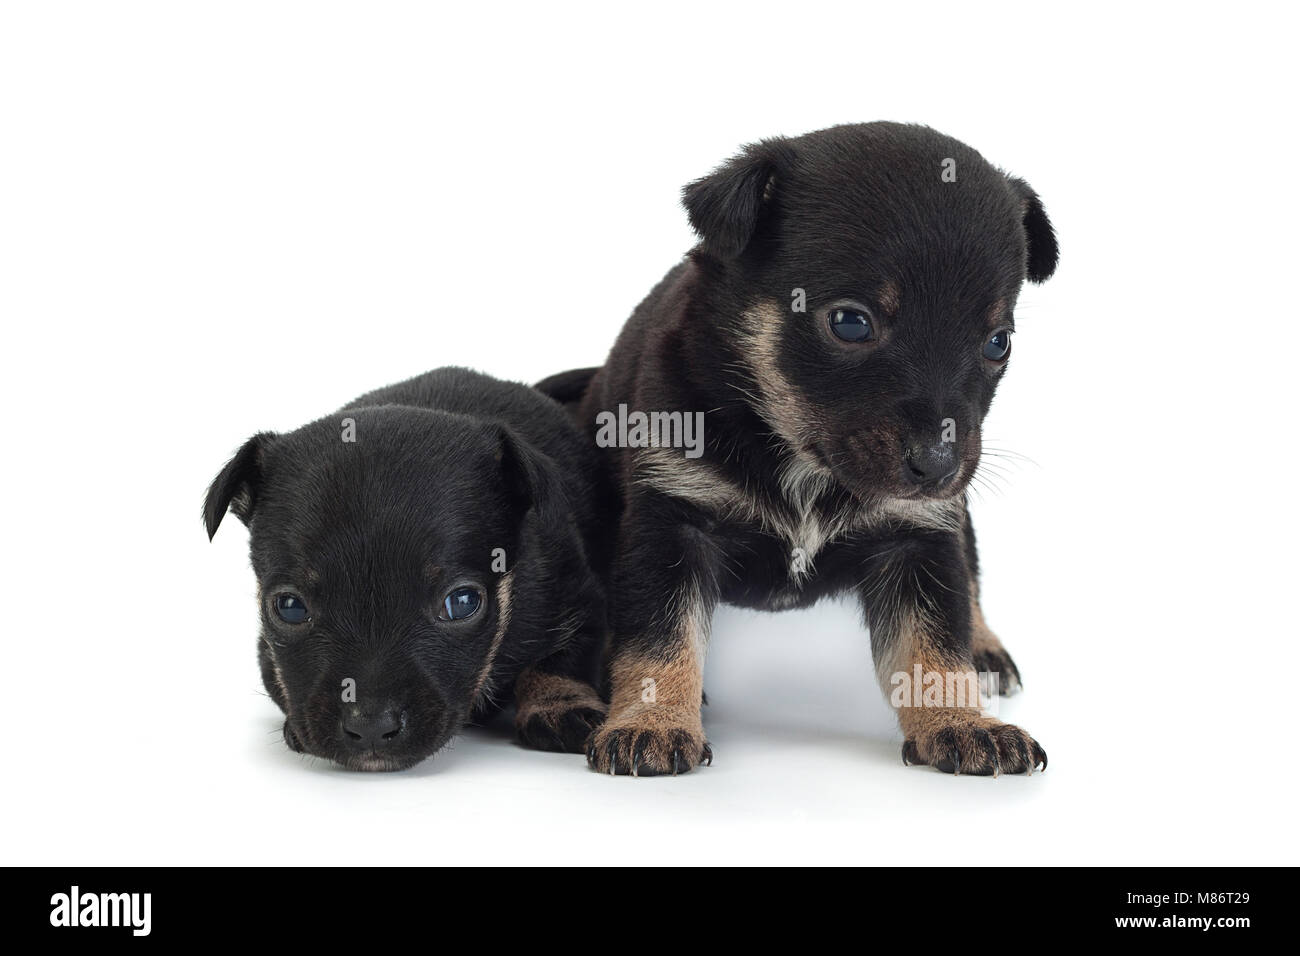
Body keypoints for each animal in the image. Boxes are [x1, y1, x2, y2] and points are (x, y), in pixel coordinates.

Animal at [204, 366, 608, 770]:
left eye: (462, 603)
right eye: (289, 607)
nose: (369, 726)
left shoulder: (579, 599)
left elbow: (559, 662)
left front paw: (557, 707)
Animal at [538, 119, 1055, 780]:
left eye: (998, 342)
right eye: (850, 323)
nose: (940, 465)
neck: (802, 459)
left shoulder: (920, 536)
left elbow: (936, 646)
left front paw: (962, 723)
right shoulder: (673, 520)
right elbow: (660, 638)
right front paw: (652, 721)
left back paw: (985, 647)